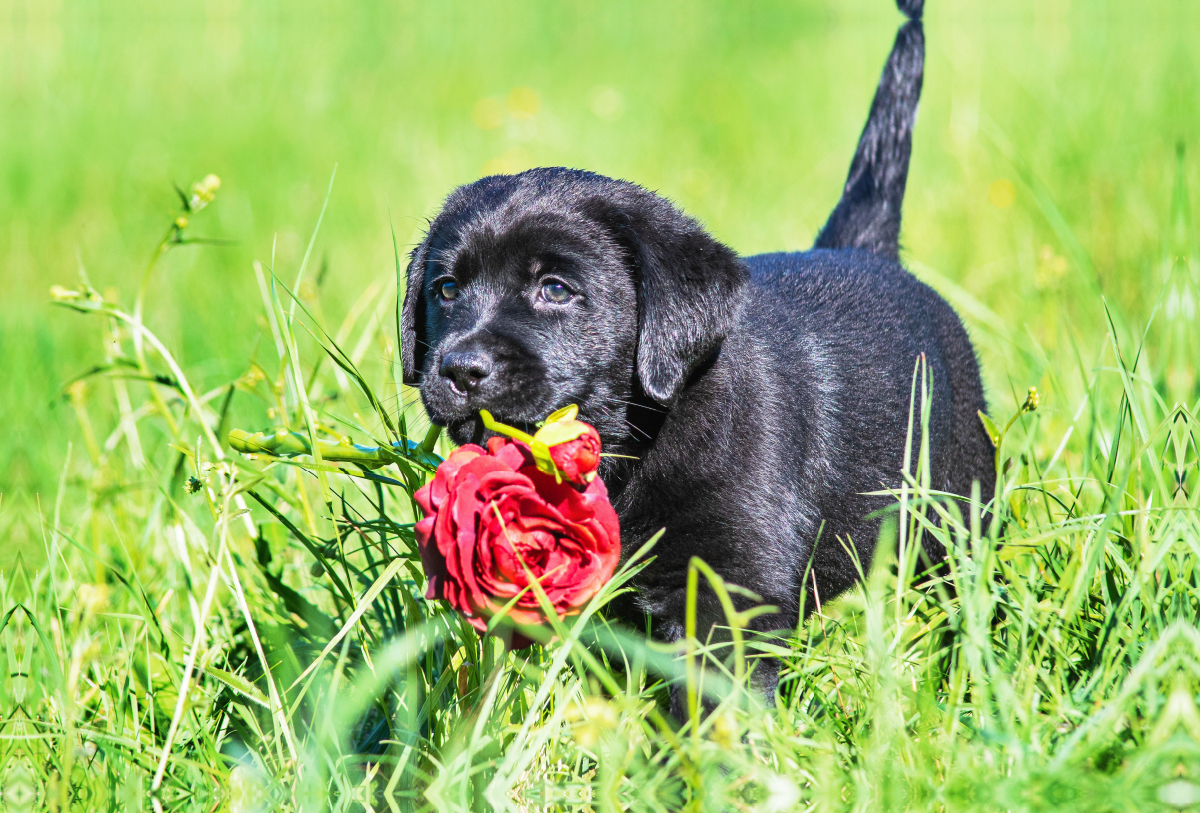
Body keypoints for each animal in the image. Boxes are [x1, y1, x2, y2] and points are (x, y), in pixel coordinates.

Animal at [398, 0, 988, 700]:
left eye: (555, 288)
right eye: (446, 289)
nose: (460, 368)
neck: (632, 452)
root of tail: (865, 250)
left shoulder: (723, 597)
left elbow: (715, 705)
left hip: (958, 511)